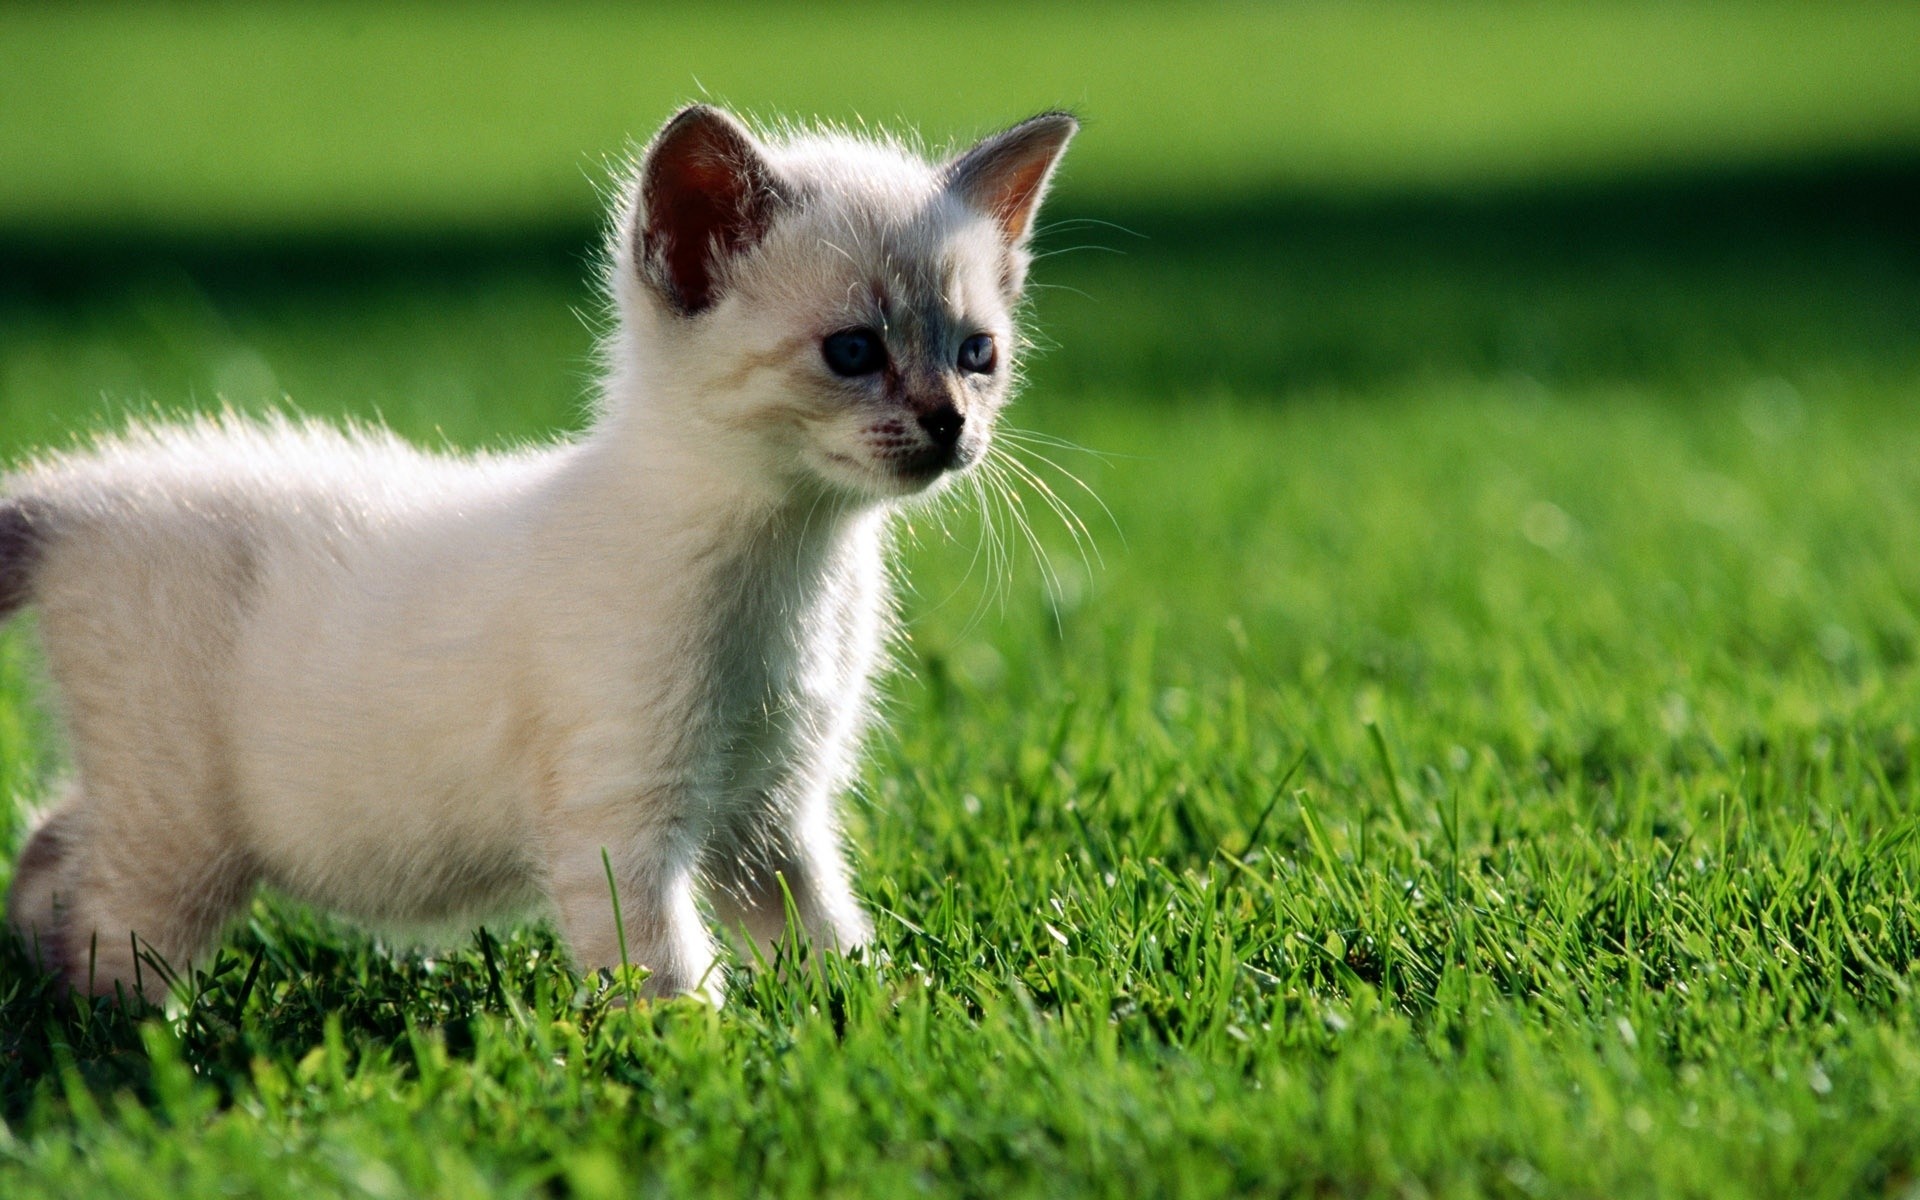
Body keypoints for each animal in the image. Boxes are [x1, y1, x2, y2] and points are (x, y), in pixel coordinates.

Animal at [0, 105, 1082, 998]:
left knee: (50, 842)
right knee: (105, 939)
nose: (950, 424)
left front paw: (883, 1021)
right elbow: (666, 976)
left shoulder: (770, 812)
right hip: (180, 830)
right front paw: (696, 1061)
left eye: (978, 354)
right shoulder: (621, 820)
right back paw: (114, 1040)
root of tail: (83, 492)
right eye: (853, 351)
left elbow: (827, 939)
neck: (800, 563)